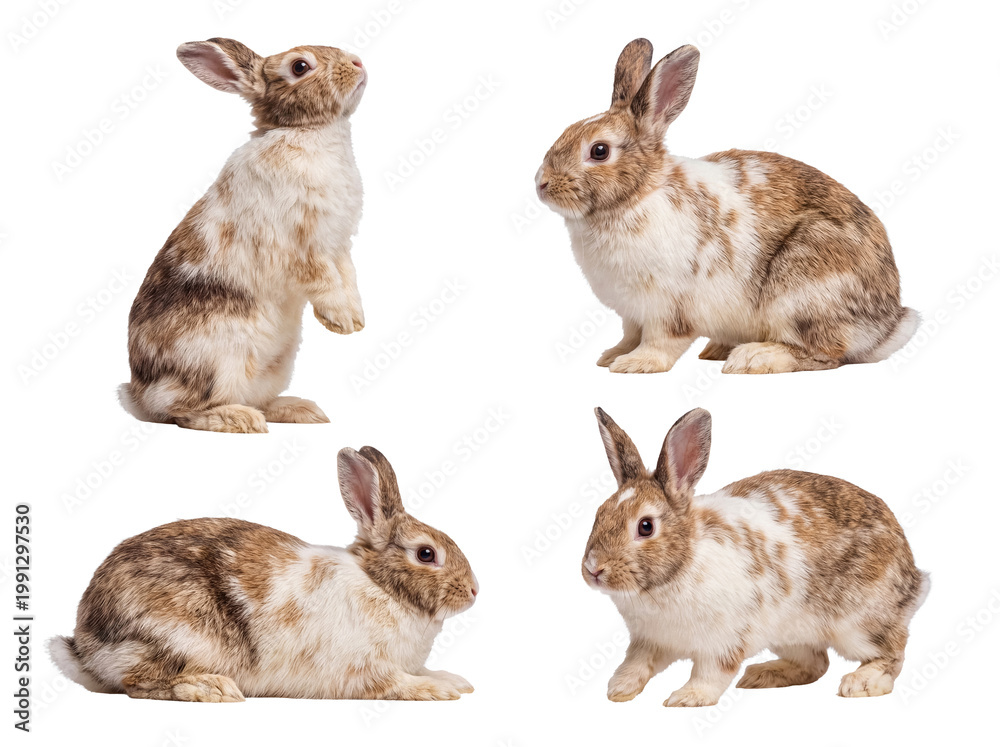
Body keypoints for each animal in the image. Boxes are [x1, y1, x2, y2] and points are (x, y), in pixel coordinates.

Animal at [48, 447, 479, 702]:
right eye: (426, 554)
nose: (474, 591)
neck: (383, 587)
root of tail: (86, 645)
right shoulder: (363, 669)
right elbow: (395, 683)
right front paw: (439, 689)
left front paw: (456, 680)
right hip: (178, 636)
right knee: (138, 682)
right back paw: (210, 687)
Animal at [119, 38, 369, 433]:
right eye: (300, 67)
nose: (358, 63)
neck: (308, 131)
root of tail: (139, 395)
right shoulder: (301, 244)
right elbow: (324, 279)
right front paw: (341, 322)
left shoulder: (339, 244)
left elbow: (348, 276)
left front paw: (356, 320)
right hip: (215, 362)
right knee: (181, 412)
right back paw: (238, 419)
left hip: (276, 364)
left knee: (257, 398)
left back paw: (300, 410)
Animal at [536, 39, 918, 374]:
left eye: (599, 151)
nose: (541, 184)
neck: (636, 196)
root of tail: (886, 326)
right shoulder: (631, 314)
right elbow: (629, 335)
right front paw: (612, 356)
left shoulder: (667, 307)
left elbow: (661, 342)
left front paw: (635, 365)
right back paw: (720, 349)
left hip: (803, 288)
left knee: (825, 353)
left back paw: (754, 358)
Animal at [582, 407, 929, 706]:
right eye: (599, 514)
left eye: (646, 526)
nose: (594, 569)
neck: (677, 570)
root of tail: (913, 578)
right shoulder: (648, 641)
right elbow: (637, 664)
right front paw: (619, 689)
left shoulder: (723, 641)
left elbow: (710, 674)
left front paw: (686, 698)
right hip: (791, 635)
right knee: (816, 663)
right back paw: (762, 675)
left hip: (859, 624)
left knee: (891, 653)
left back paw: (860, 683)